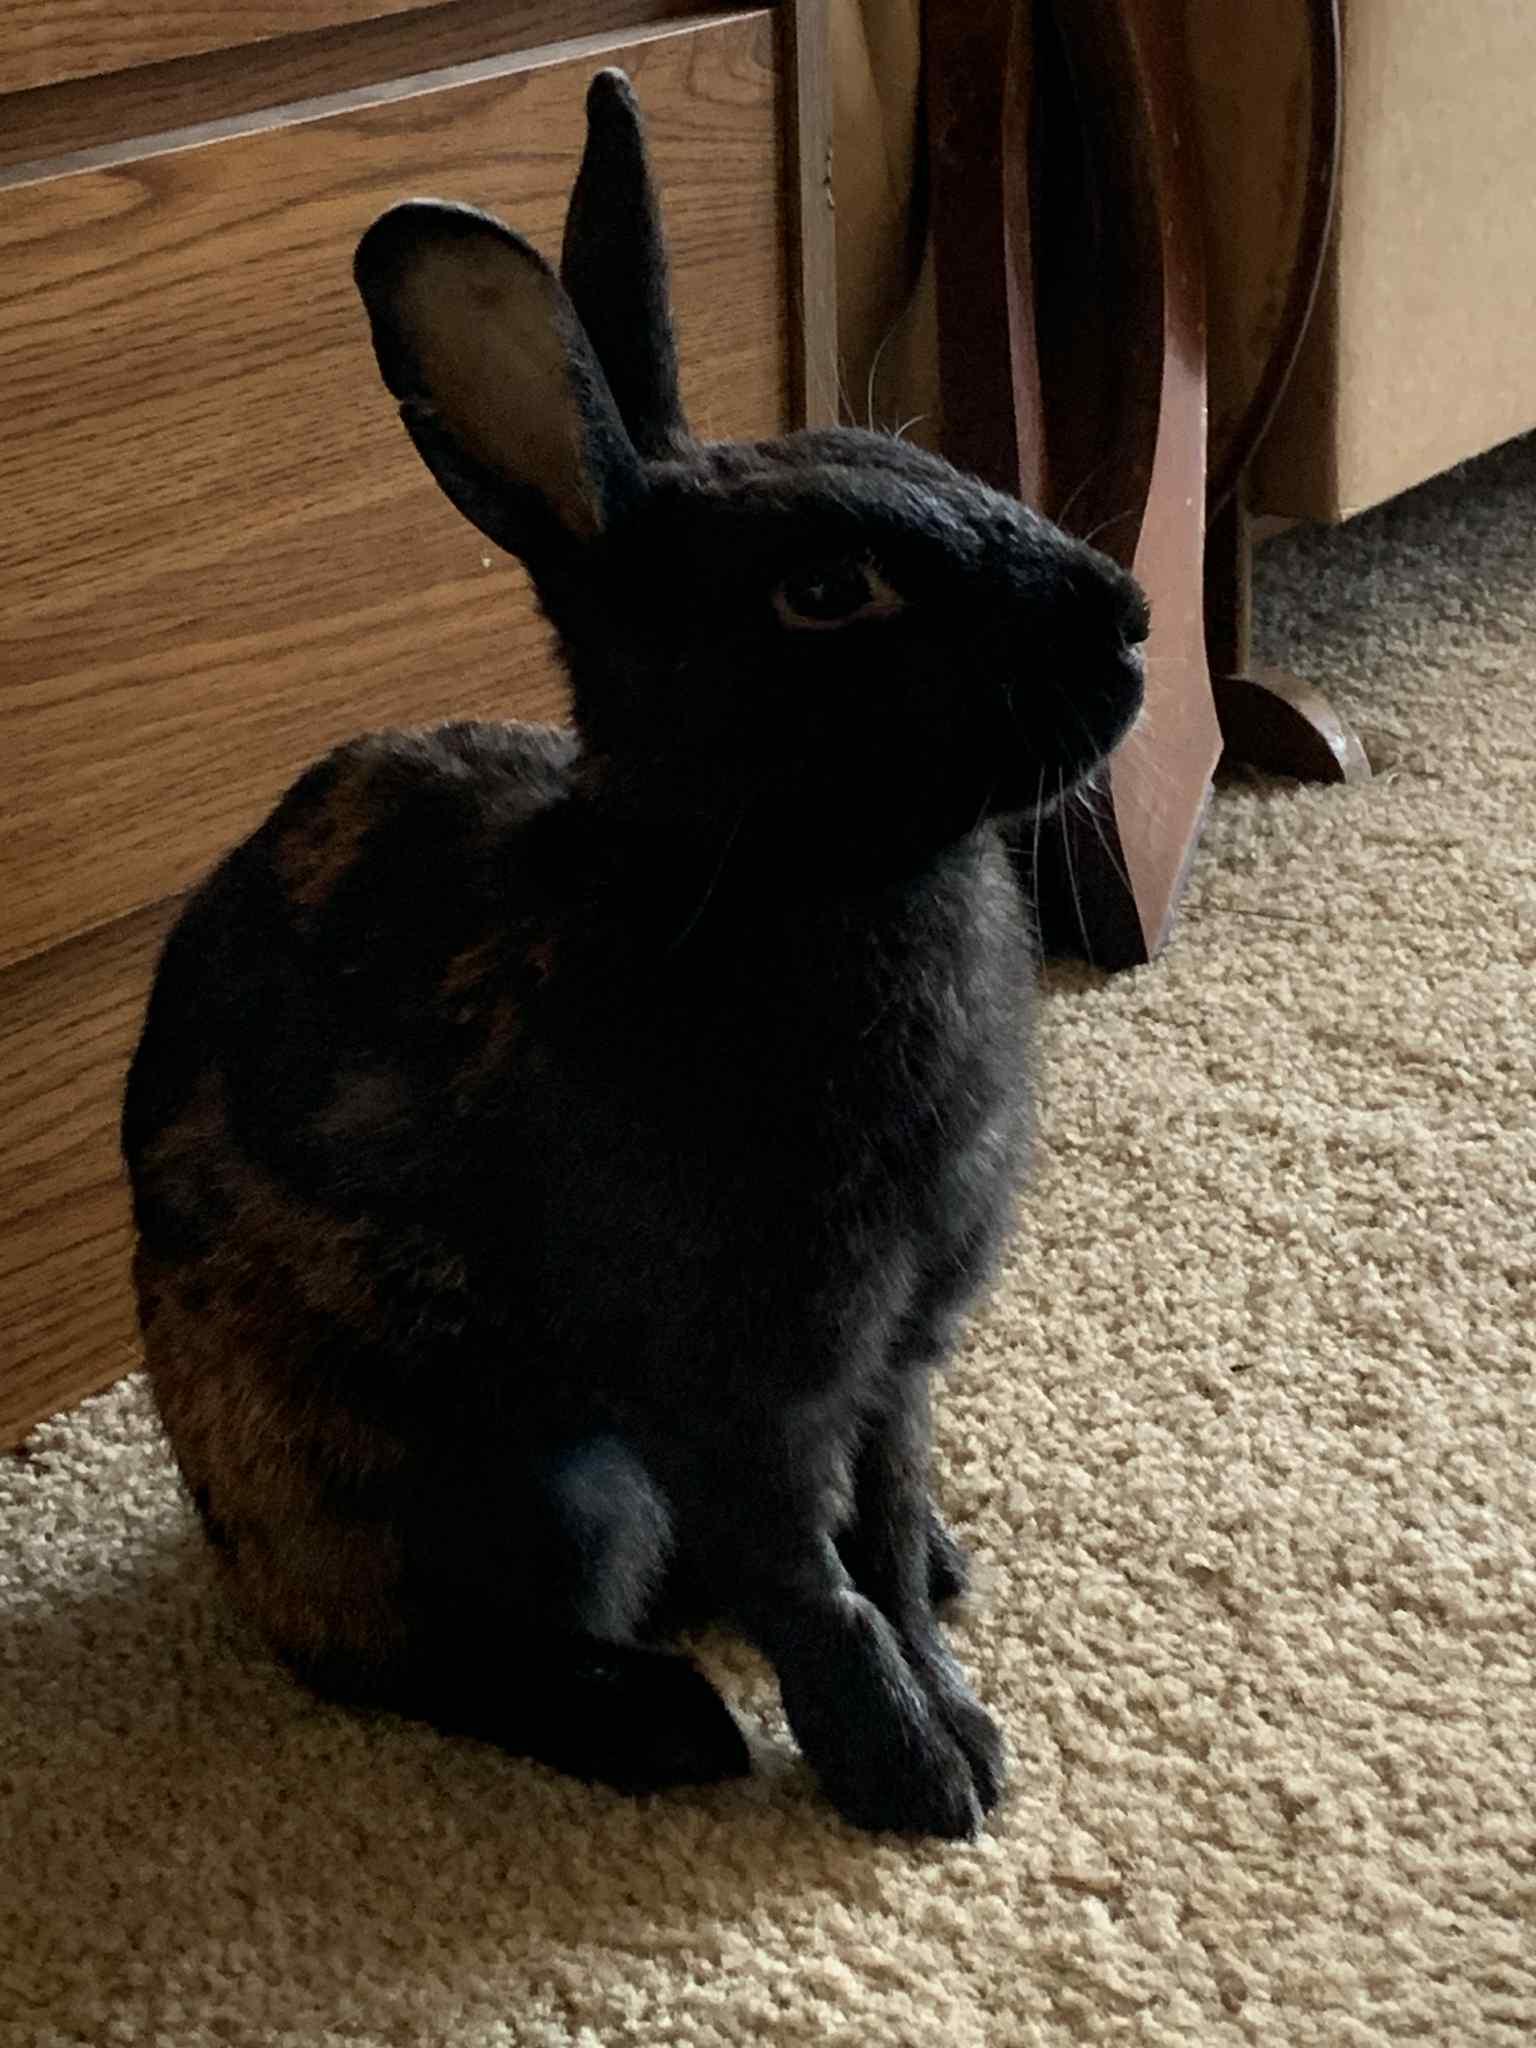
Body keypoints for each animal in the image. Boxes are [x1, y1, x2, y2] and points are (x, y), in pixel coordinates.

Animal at [121, 68, 1148, 1840]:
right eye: (826, 590)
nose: (1134, 620)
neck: (780, 883)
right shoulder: (731, 1387)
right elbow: (812, 1584)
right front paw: (917, 1780)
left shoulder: (893, 1367)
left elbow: (879, 1535)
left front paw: (953, 1711)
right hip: (518, 1489)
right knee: (422, 1654)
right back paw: (664, 1728)